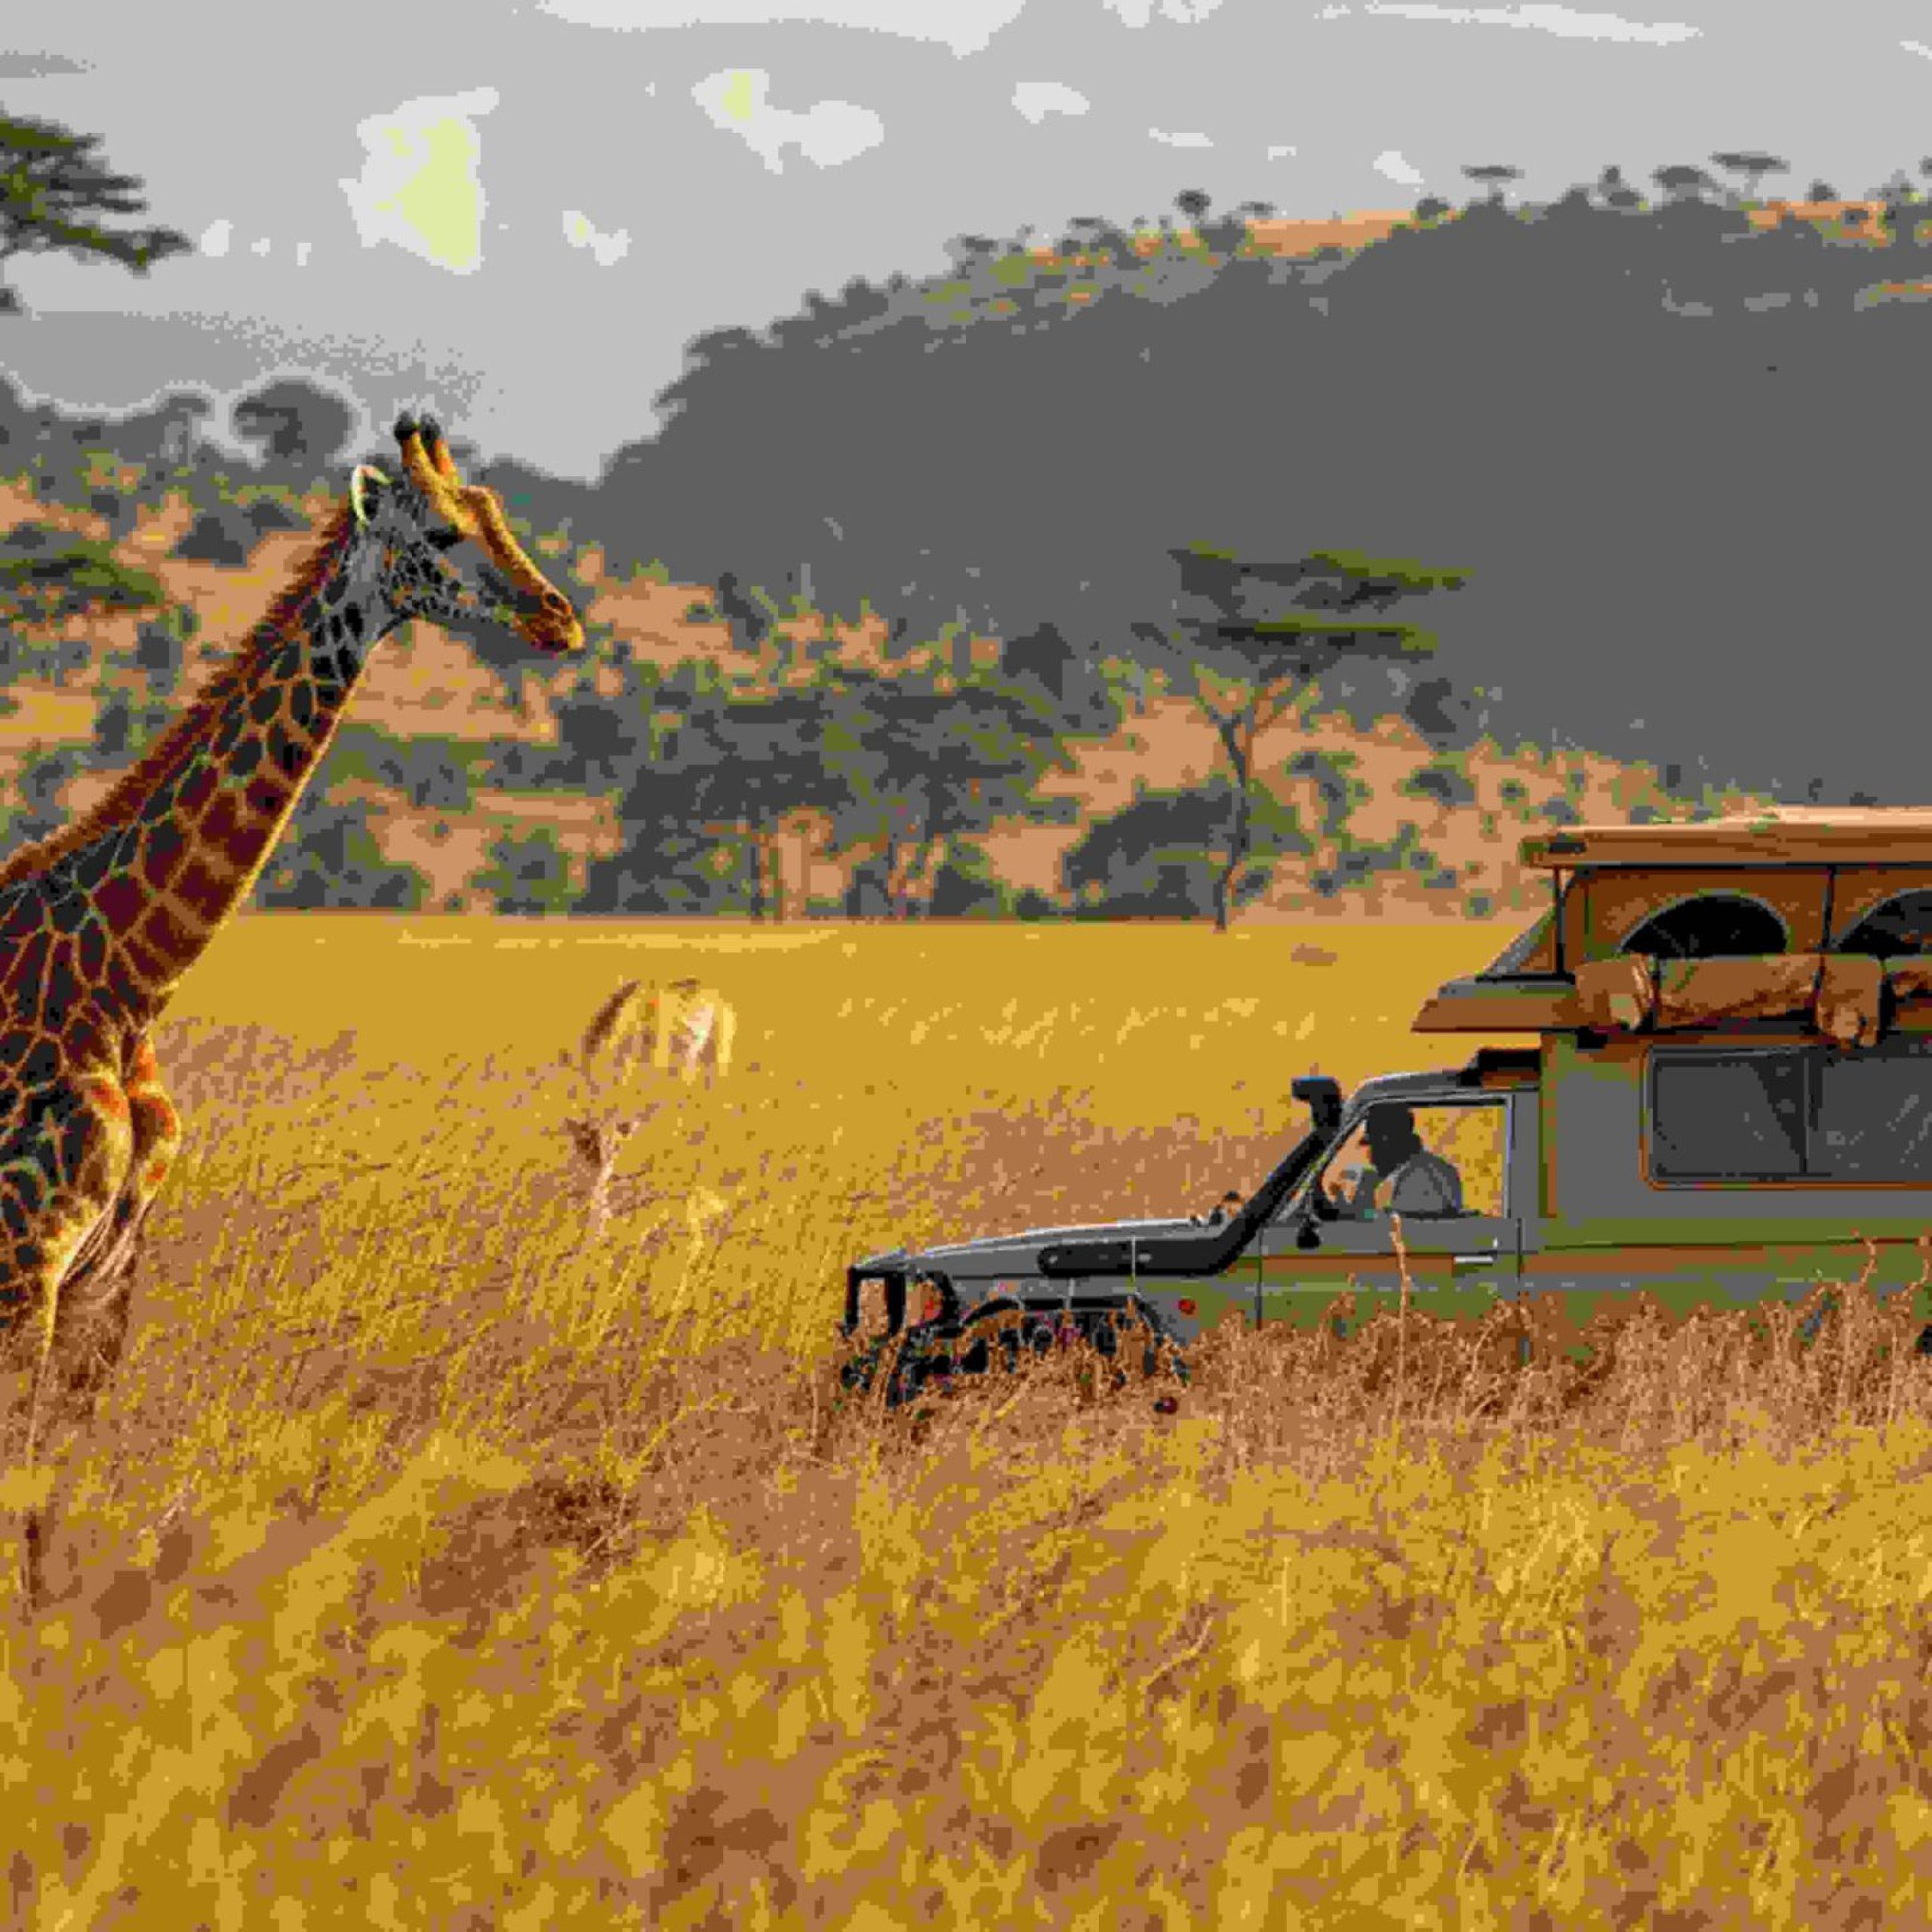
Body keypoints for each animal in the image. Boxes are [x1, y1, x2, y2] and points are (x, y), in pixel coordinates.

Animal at [0, 413, 583, 1606]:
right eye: (443, 535)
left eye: (498, 513)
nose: (560, 618)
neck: (130, 984)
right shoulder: (24, 1260)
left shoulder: (103, 1282)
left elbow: (44, 1518)